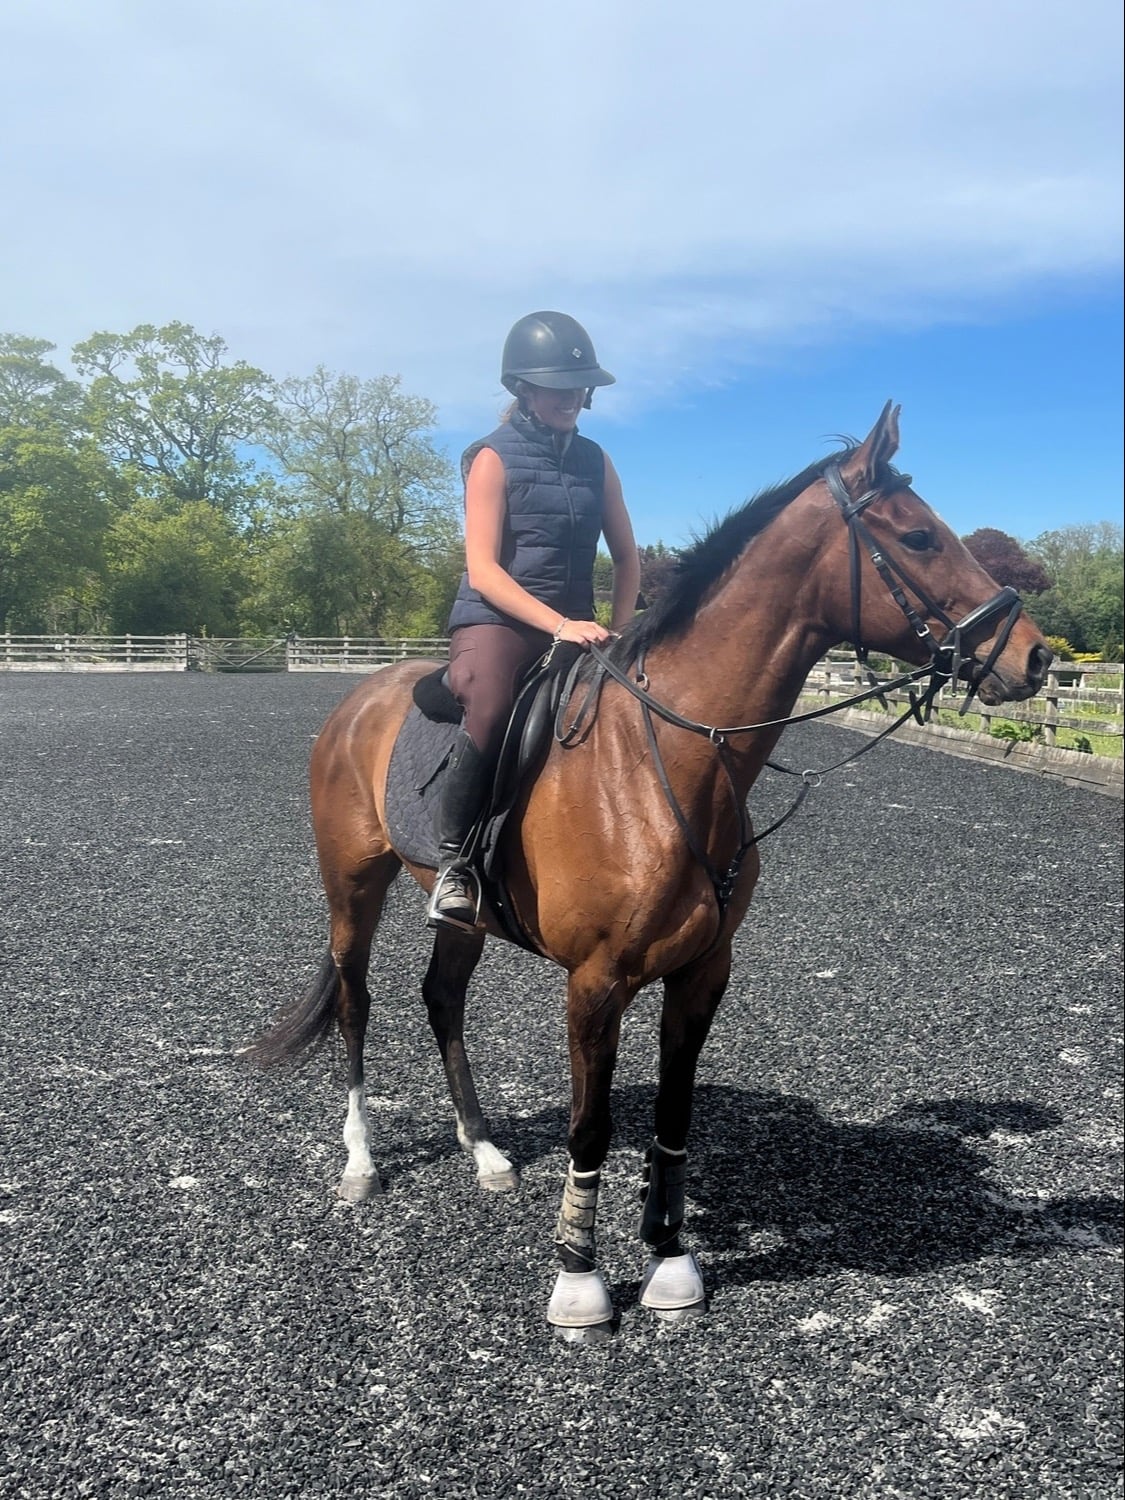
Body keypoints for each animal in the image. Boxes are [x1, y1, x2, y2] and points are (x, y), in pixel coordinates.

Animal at [245, 403, 1051, 1341]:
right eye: (919, 536)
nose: (1034, 658)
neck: (667, 758)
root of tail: (359, 698)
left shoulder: (702, 972)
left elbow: (672, 1115)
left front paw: (668, 1256)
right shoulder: (596, 983)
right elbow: (590, 1130)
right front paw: (578, 1279)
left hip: (461, 916)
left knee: (441, 998)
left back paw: (483, 1151)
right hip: (353, 886)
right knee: (355, 1001)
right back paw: (361, 1162)